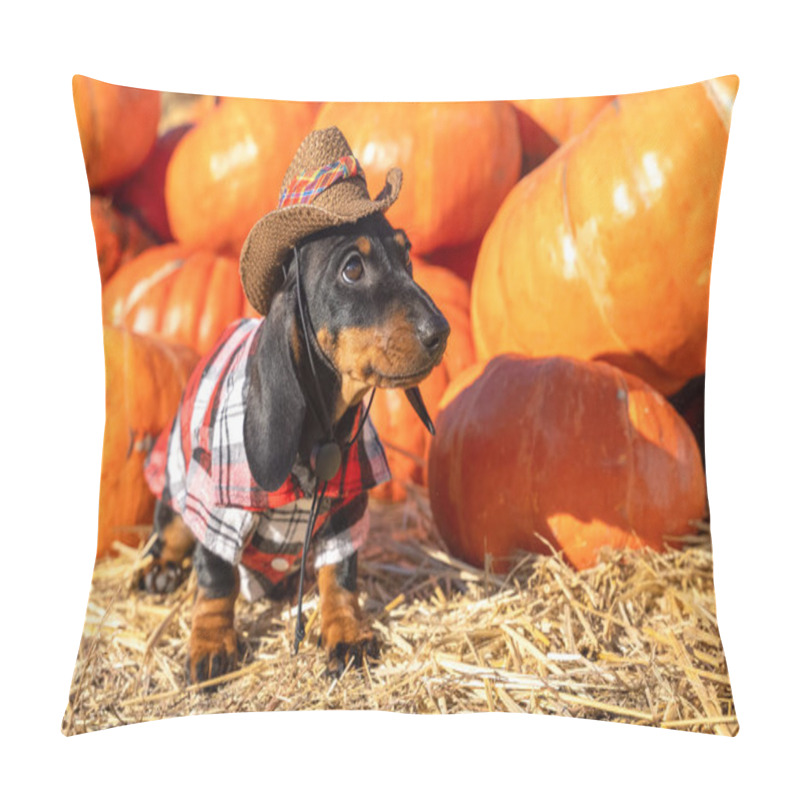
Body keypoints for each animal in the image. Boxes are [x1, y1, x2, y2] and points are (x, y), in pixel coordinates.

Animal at [138, 128, 450, 684]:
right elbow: (215, 578)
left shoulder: (346, 509)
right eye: (352, 268)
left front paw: (345, 631)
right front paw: (210, 643)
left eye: (409, 257)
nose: (442, 333)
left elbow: (338, 575)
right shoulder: (218, 506)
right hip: (177, 480)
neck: (321, 432)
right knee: (170, 529)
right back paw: (158, 569)